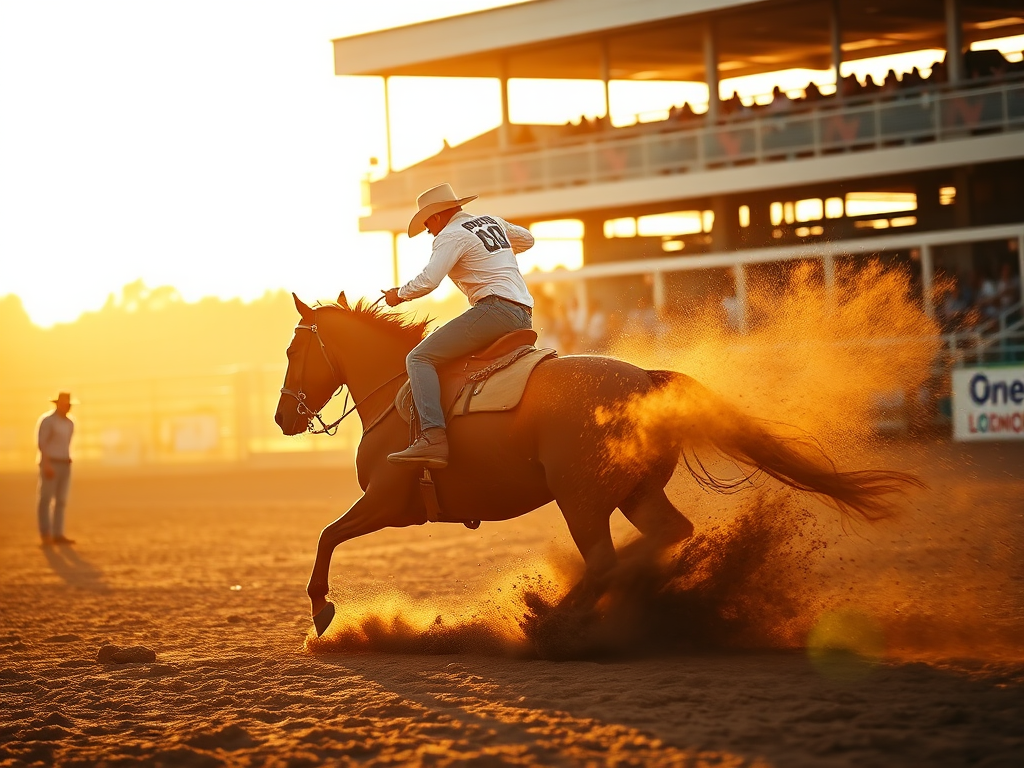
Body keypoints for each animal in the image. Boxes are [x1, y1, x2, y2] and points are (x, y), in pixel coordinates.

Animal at [275, 292, 921, 636]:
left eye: (291, 349)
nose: (283, 418)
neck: (398, 387)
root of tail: (646, 381)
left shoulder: (387, 503)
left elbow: (326, 535)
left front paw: (322, 609)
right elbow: (329, 535)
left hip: (581, 500)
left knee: (607, 562)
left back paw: (552, 621)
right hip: (635, 493)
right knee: (669, 534)